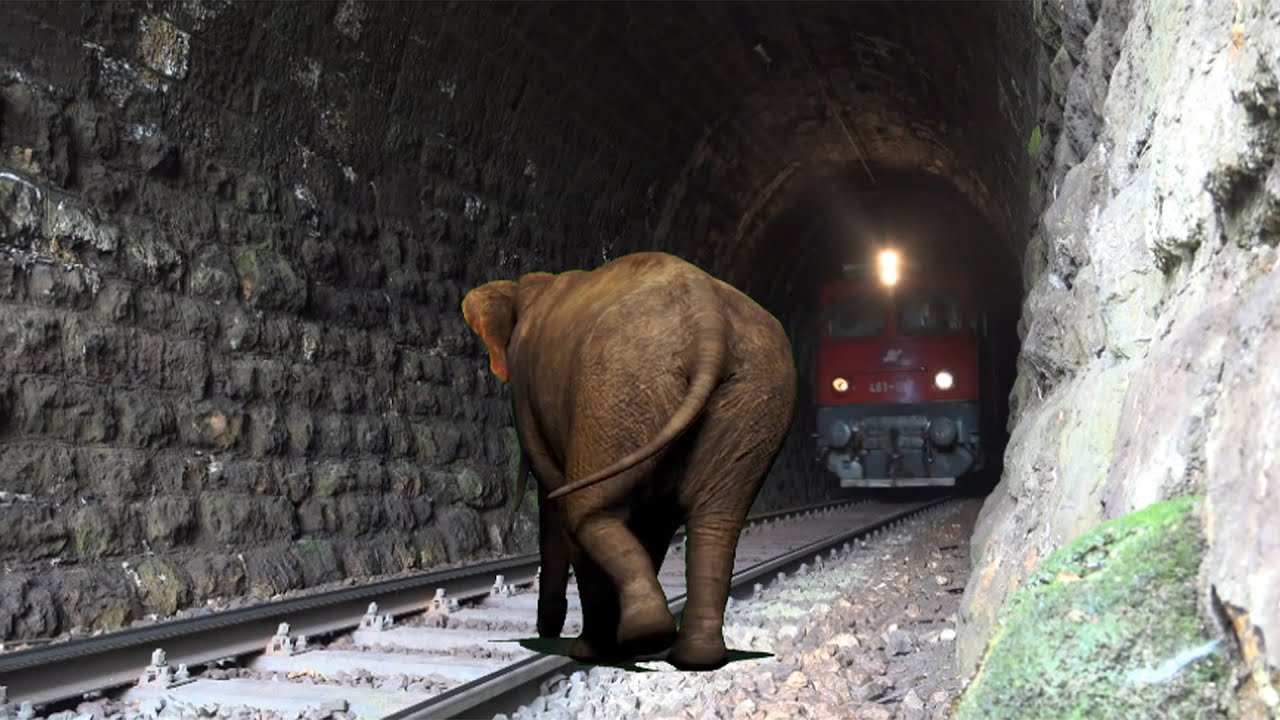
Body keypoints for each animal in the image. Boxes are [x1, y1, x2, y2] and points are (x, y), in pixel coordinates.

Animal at [463, 251, 796, 670]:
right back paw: (692, 656)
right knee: (717, 521)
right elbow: (652, 522)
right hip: (750, 395)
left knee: (585, 508)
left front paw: (594, 649)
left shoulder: (526, 390)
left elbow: (557, 495)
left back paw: (639, 636)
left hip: (620, 385)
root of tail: (708, 317)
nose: (546, 628)